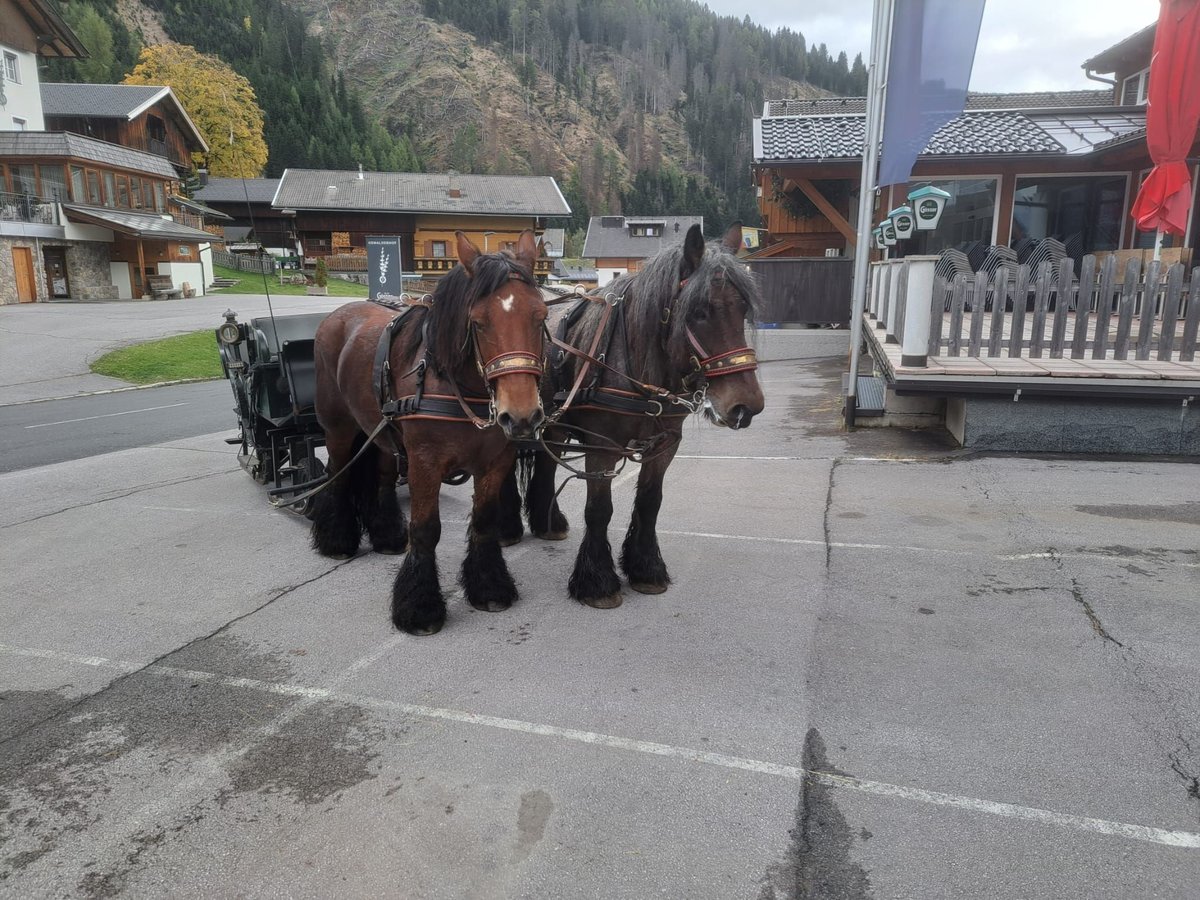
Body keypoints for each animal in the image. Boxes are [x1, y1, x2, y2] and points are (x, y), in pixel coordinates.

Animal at [312, 232, 549, 643]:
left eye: (541, 316)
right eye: (478, 322)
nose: (520, 415)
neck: (457, 385)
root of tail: (337, 316)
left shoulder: (495, 462)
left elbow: (484, 521)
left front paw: (489, 587)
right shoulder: (425, 463)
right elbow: (425, 530)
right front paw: (419, 607)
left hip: (383, 434)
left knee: (383, 478)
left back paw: (387, 535)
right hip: (338, 429)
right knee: (337, 476)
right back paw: (337, 540)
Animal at [499, 222, 763, 609]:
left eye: (742, 309)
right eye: (699, 311)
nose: (746, 406)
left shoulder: (664, 445)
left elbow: (650, 503)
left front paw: (646, 569)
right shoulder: (602, 446)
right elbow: (599, 509)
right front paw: (597, 581)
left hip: (554, 426)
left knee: (547, 463)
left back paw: (549, 522)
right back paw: (506, 529)